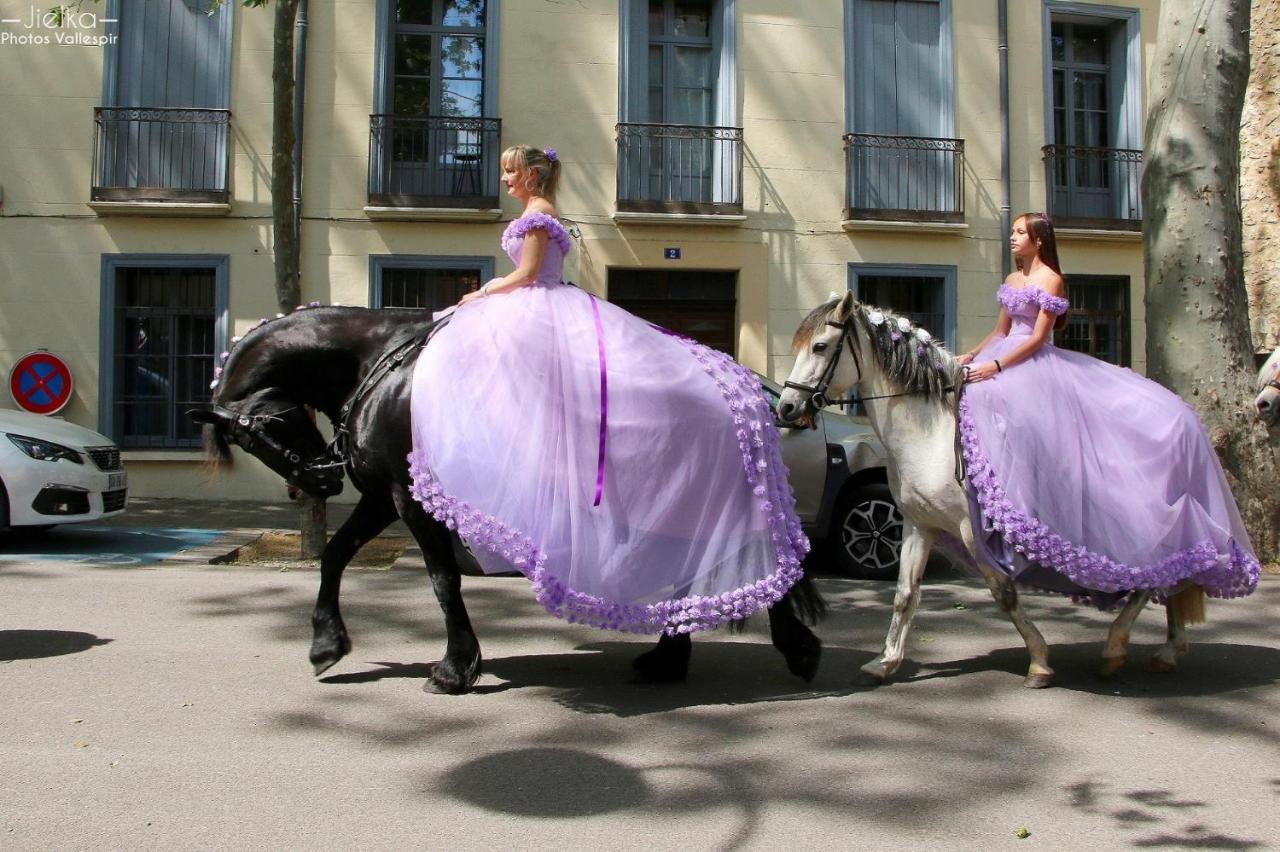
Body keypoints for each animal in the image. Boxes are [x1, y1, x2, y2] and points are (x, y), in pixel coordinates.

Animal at [194, 308, 824, 695]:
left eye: (257, 433)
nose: (319, 481)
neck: (380, 367)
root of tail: (741, 383)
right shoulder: (383, 496)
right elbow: (333, 557)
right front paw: (326, 643)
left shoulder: (410, 499)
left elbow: (442, 579)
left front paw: (454, 668)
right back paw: (671, 658)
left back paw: (792, 650)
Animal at [773, 290, 1203, 685]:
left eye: (820, 346)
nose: (787, 408)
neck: (931, 433)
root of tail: (1184, 411)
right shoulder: (919, 524)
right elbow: (905, 593)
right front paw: (886, 662)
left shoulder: (970, 530)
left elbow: (1004, 595)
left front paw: (1039, 662)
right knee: (1174, 577)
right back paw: (1168, 649)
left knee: (1157, 578)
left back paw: (1119, 647)